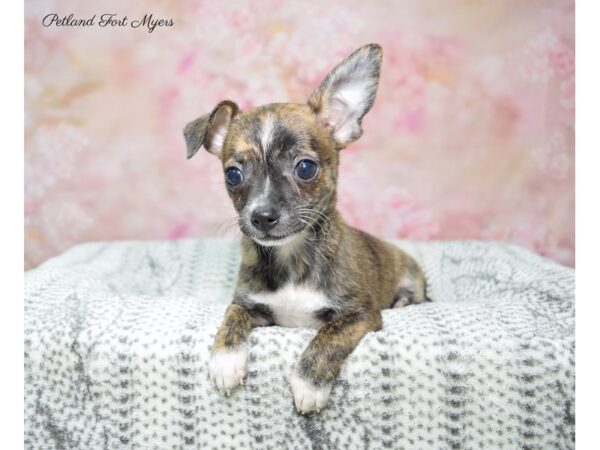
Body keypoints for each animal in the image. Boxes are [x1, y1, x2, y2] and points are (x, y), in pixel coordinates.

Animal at [185, 44, 428, 414]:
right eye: (233, 175)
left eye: (306, 168)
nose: (262, 216)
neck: (291, 255)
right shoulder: (249, 304)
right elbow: (232, 316)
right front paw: (225, 358)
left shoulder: (359, 315)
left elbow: (329, 336)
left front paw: (309, 384)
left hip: (413, 279)